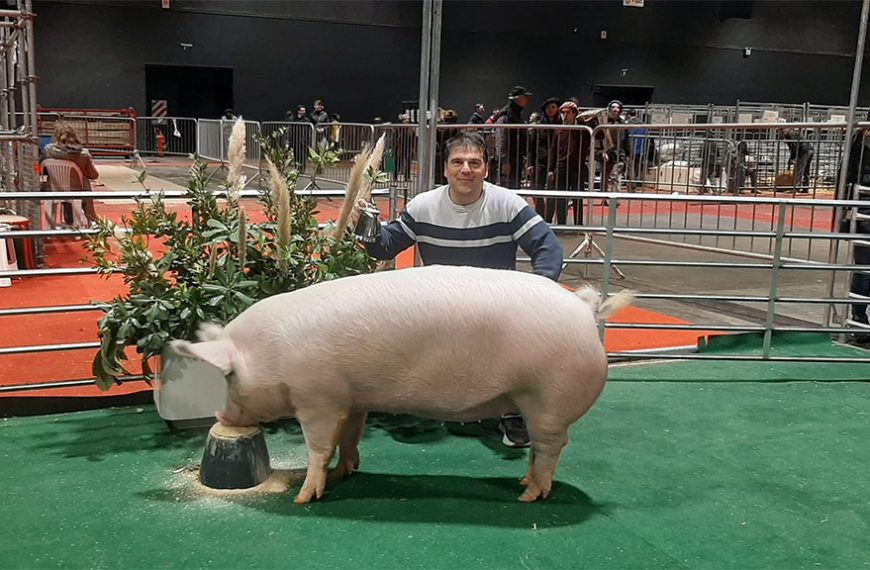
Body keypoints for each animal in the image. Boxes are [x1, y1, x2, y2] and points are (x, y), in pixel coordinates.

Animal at [170, 262, 632, 502]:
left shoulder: (317, 398)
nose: (220, 414)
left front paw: (304, 496)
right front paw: (346, 474)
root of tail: (585, 310)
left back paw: (529, 495)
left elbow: (319, 446)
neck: (271, 354)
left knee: (552, 447)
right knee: (541, 448)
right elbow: (348, 437)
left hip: (548, 398)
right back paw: (522, 483)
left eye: (228, 377)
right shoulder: (352, 398)